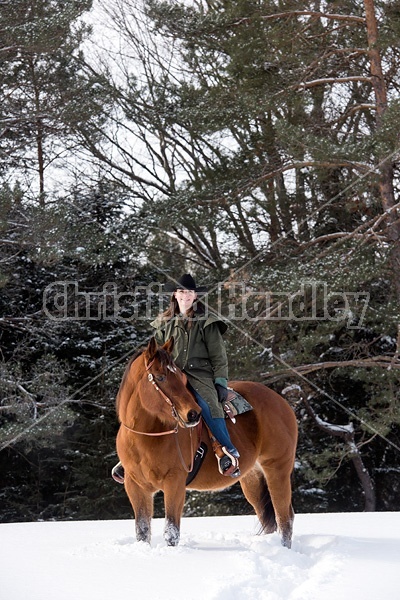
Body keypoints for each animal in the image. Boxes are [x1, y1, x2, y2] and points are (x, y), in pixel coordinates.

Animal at [115, 338, 296, 548]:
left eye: (182, 378)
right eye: (160, 377)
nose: (193, 414)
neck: (146, 438)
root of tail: (281, 402)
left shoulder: (175, 482)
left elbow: (171, 532)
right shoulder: (136, 487)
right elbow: (142, 531)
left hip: (277, 470)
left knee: (284, 517)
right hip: (252, 478)